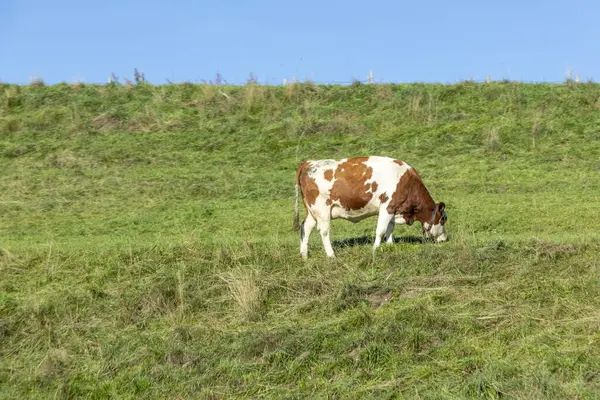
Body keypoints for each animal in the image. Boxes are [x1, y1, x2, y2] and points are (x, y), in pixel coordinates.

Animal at [292, 155, 448, 258]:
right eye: (443, 219)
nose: (445, 238)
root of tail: (309, 162)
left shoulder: (394, 209)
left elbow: (390, 228)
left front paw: (390, 245)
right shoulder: (387, 206)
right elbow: (381, 230)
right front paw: (375, 249)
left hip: (312, 211)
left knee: (306, 227)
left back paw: (304, 255)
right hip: (322, 210)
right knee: (324, 232)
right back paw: (331, 255)